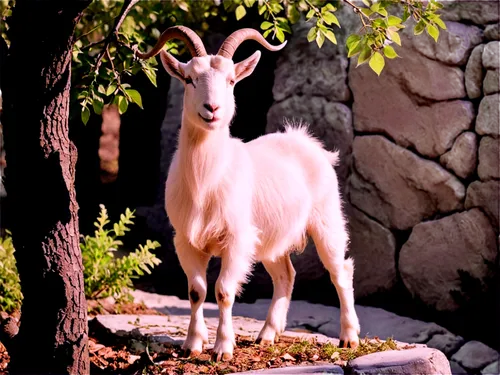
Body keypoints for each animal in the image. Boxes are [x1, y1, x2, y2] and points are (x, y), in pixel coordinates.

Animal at [135, 25, 362, 362]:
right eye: (189, 79)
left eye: (231, 80)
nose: (212, 109)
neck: (206, 183)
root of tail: (307, 142)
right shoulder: (186, 240)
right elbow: (196, 291)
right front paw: (192, 344)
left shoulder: (237, 239)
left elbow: (224, 291)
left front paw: (222, 349)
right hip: (270, 237)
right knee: (285, 275)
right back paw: (267, 334)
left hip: (327, 217)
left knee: (340, 271)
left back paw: (349, 337)